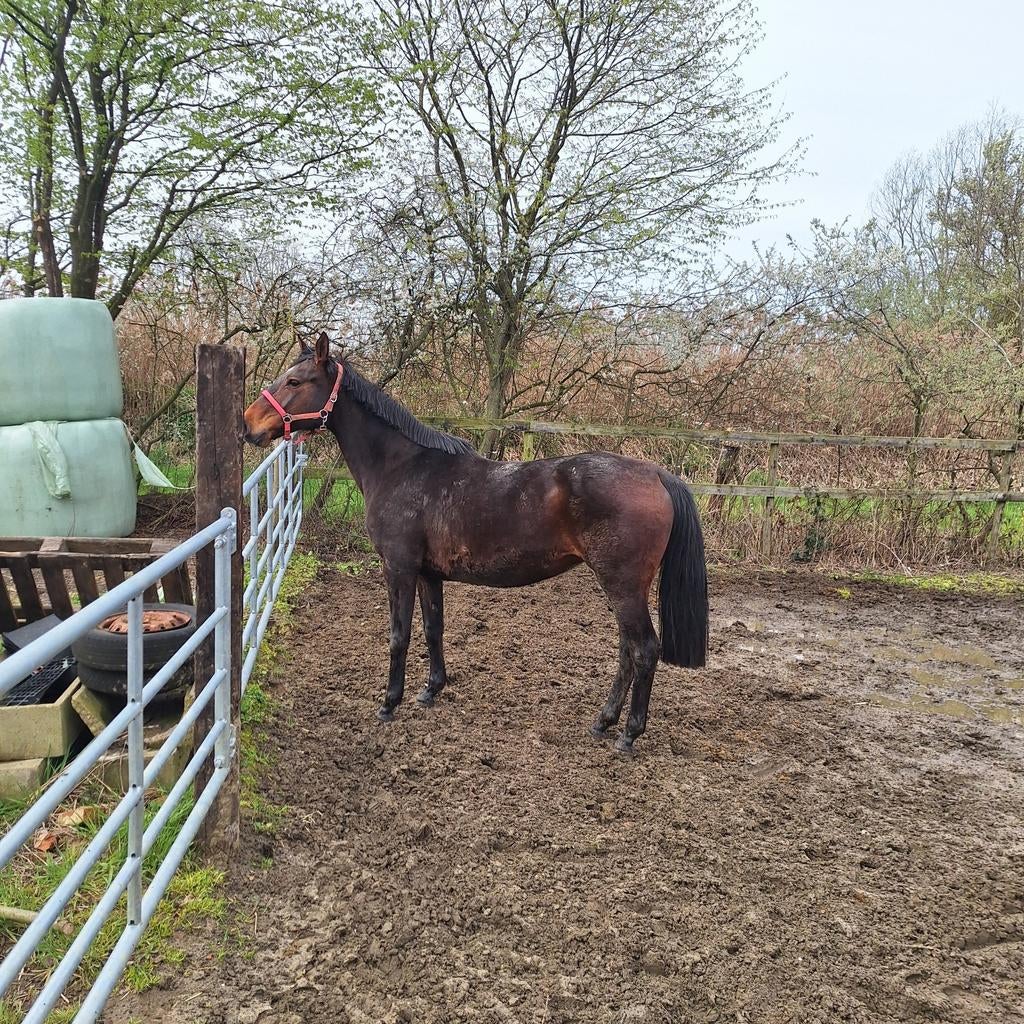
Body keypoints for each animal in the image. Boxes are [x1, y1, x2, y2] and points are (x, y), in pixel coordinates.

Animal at [243, 333, 708, 752]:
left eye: (295, 381)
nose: (248, 425)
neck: (401, 467)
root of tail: (655, 475)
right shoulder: (428, 574)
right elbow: (433, 630)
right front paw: (430, 690)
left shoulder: (399, 568)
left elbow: (399, 635)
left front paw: (389, 704)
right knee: (627, 650)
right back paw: (604, 721)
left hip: (623, 586)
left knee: (643, 649)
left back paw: (628, 734)